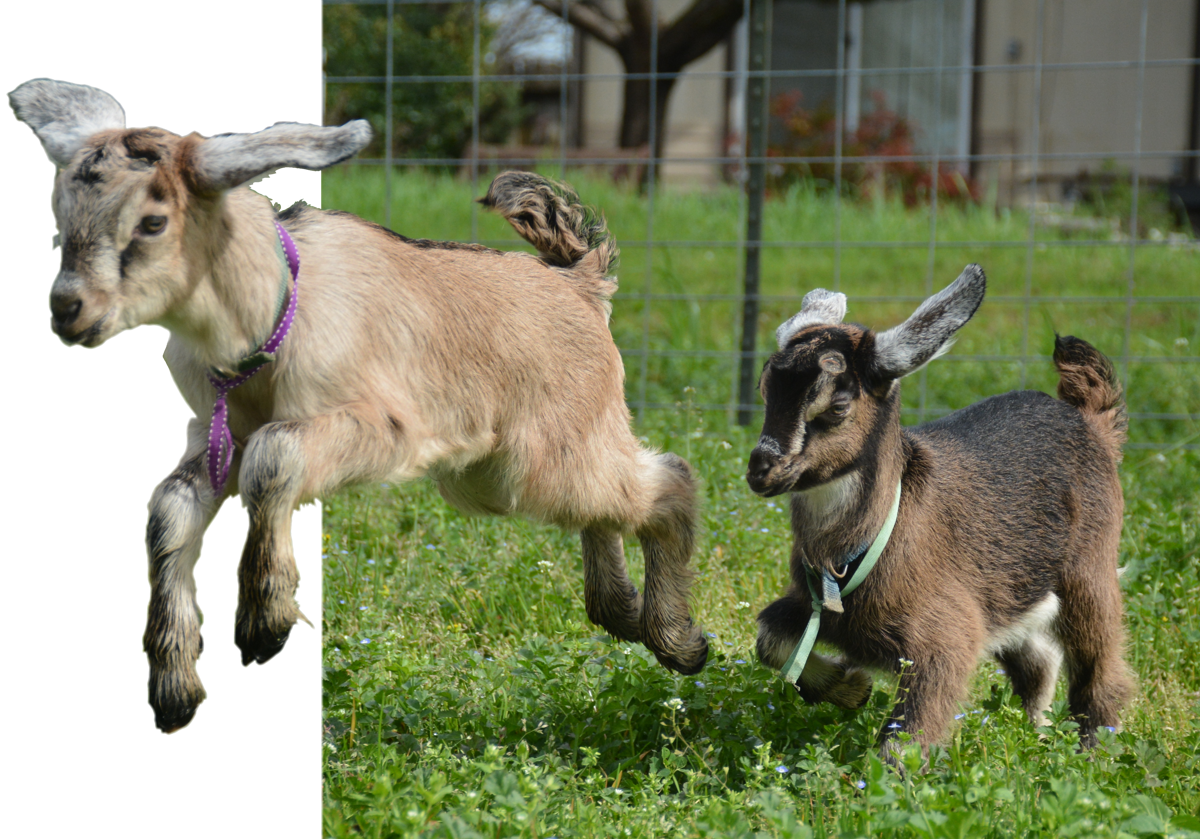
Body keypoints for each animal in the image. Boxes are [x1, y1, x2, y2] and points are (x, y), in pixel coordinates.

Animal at [11, 78, 708, 734]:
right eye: (61, 218)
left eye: (153, 222)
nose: (68, 310)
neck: (273, 314)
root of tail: (581, 283)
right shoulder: (212, 434)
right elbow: (168, 512)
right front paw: (175, 692)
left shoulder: (381, 427)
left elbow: (273, 458)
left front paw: (264, 624)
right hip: (498, 472)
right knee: (611, 504)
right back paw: (623, 611)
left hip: (532, 462)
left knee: (668, 480)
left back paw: (679, 642)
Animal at [746, 264, 1131, 762]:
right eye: (765, 389)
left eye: (837, 406)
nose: (761, 470)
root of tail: (1090, 420)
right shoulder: (823, 611)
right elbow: (770, 637)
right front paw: (850, 687)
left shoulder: (944, 639)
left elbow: (904, 740)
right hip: (1009, 588)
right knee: (1038, 662)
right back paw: (1038, 736)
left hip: (1090, 570)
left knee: (1099, 670)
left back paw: (1092, 755)